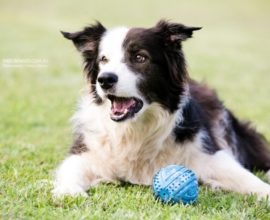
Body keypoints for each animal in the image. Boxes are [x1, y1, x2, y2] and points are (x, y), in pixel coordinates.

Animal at [52, 19, 270, 200]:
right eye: (103, 59)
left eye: (140, 57)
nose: (104, 79)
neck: (133, 129)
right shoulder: (86, 152)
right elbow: (70, 170)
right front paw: (69, 192)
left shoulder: (208, 152)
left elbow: (246, 177)